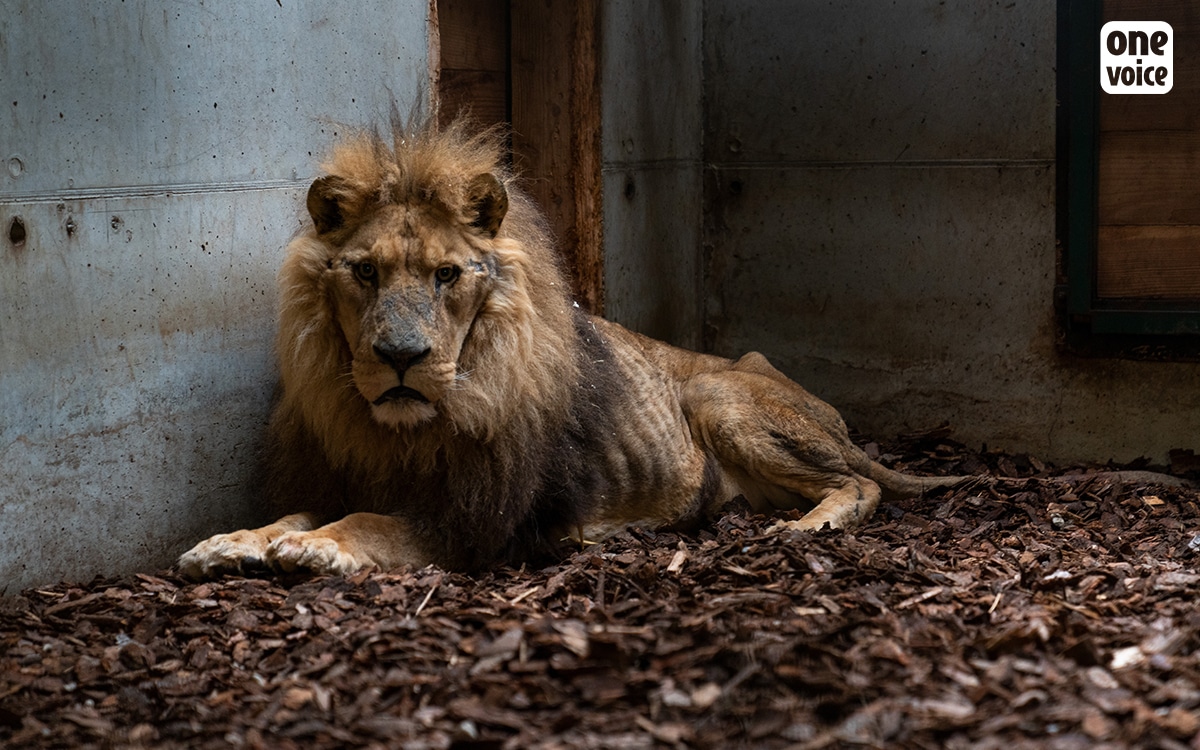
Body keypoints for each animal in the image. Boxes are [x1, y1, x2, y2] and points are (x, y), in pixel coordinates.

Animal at [177, 114, 964, 579]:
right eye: (365, 273)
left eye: (446, 275)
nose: (401, 357)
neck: (400, 432)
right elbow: (299, 511)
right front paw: (235, 540)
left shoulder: (489, 525)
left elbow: (378, 522)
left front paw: (320, 547)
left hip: (716, 393)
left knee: (860, 481)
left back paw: (807, 526)